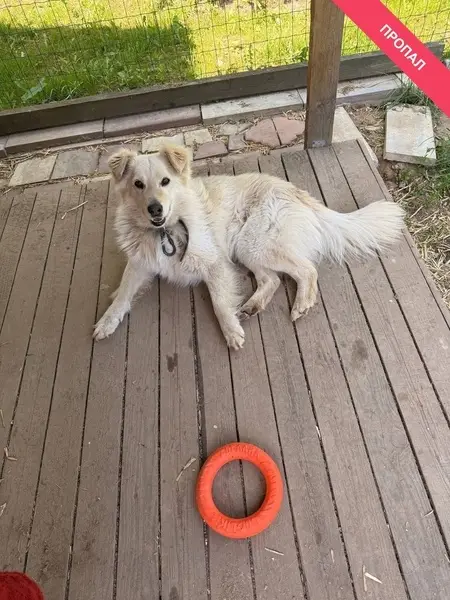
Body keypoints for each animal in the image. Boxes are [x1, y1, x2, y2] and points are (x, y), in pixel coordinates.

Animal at [93, 144, 404, 349]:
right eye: (138, 184)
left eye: (165, 181)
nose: (155, 209)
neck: (164, 231)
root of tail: (298, 192)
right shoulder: (139, 264)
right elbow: (123, 294)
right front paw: (107, 321)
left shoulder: (215, 263)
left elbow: (219, 303)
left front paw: (231, 332)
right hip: (247, 249)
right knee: (273, 279)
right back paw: (252, 306)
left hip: (254, 243)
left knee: (307, 270)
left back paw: (301, 305)